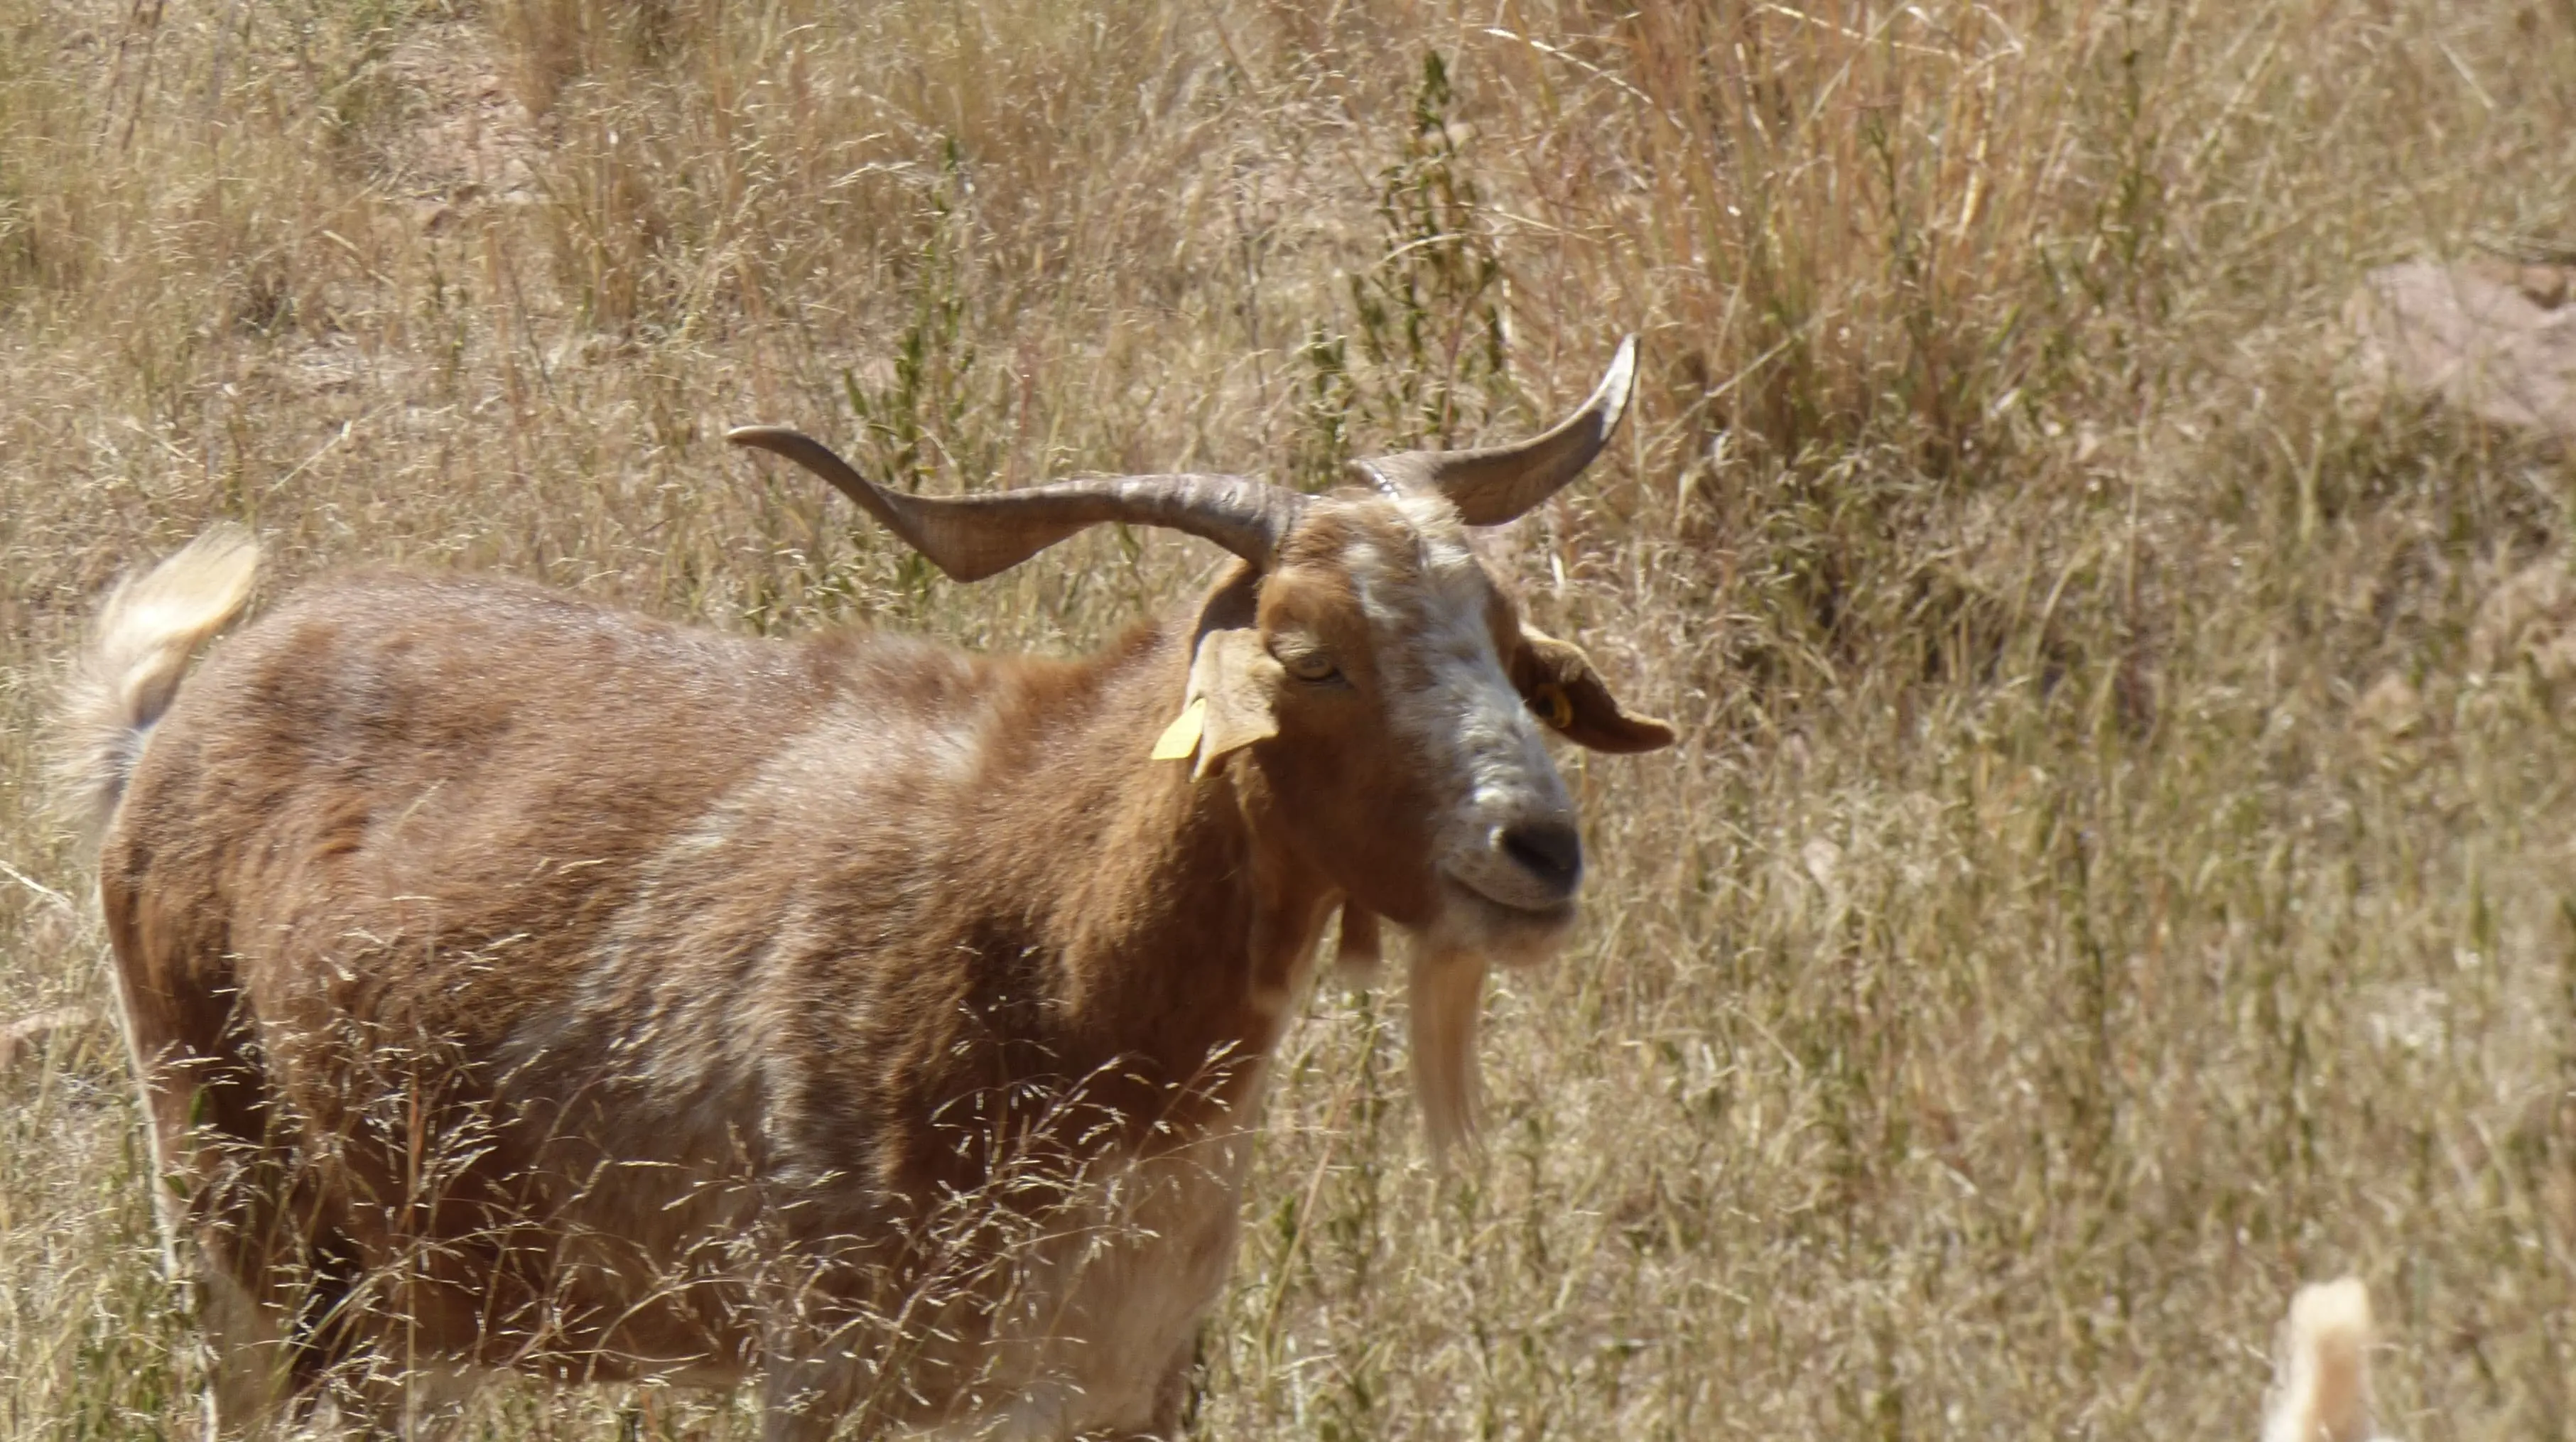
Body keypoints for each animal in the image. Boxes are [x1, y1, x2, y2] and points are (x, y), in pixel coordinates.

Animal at [62, 339, 1671, 1438]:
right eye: (1310, 656)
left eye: (1508, 644)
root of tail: (173, 718)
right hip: (236, 1205)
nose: (1538, 849)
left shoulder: (1132, 1377)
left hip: (409, 1282)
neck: (1039, 949)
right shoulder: (828, 1364)